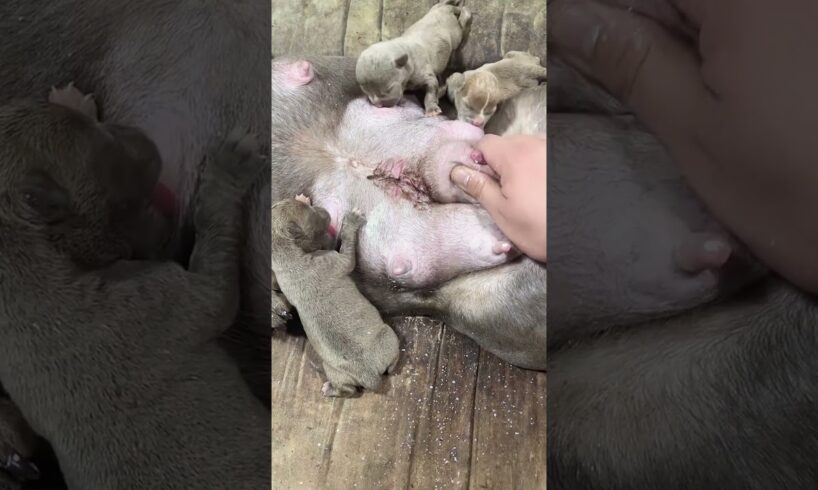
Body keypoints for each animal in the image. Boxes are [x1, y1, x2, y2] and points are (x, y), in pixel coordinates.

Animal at [0, 86, 270, 488]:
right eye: (106, 150)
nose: (149, 139)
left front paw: (71, 100)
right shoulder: (165, 298)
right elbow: (215, 279)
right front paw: (229, 169)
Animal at [270, 197, 398, 396]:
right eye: (311, 211)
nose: (323, 209)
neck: (288, 258)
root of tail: (369, 375)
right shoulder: (336, 259)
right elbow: (347, 251)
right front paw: (351, 221)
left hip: (335, 371)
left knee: (347, 389)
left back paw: (330, 389)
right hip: (388, 336)